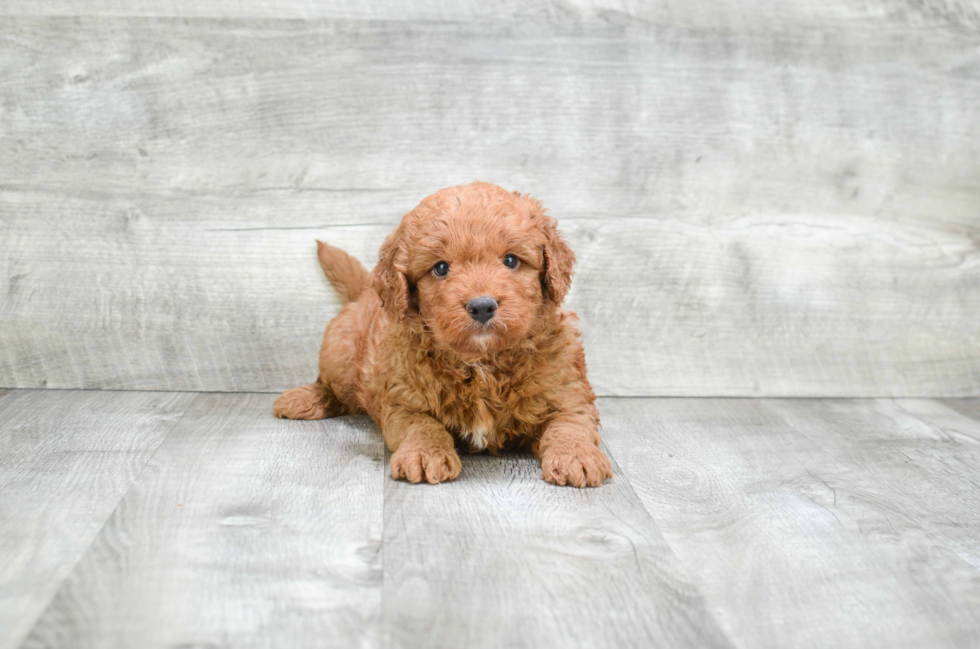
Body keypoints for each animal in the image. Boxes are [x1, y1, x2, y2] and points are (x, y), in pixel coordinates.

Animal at [276, 178, 608, 486]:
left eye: (511, 260)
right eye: (440, 268)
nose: (482, 306)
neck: (482, 363)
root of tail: (365, 291)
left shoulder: (567, 391)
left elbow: (570, 423)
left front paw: (576, 455)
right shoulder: (404, 400)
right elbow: (422, 425)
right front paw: (425, 454)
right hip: (341, 354)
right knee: (333, 386)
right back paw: (305, 399)